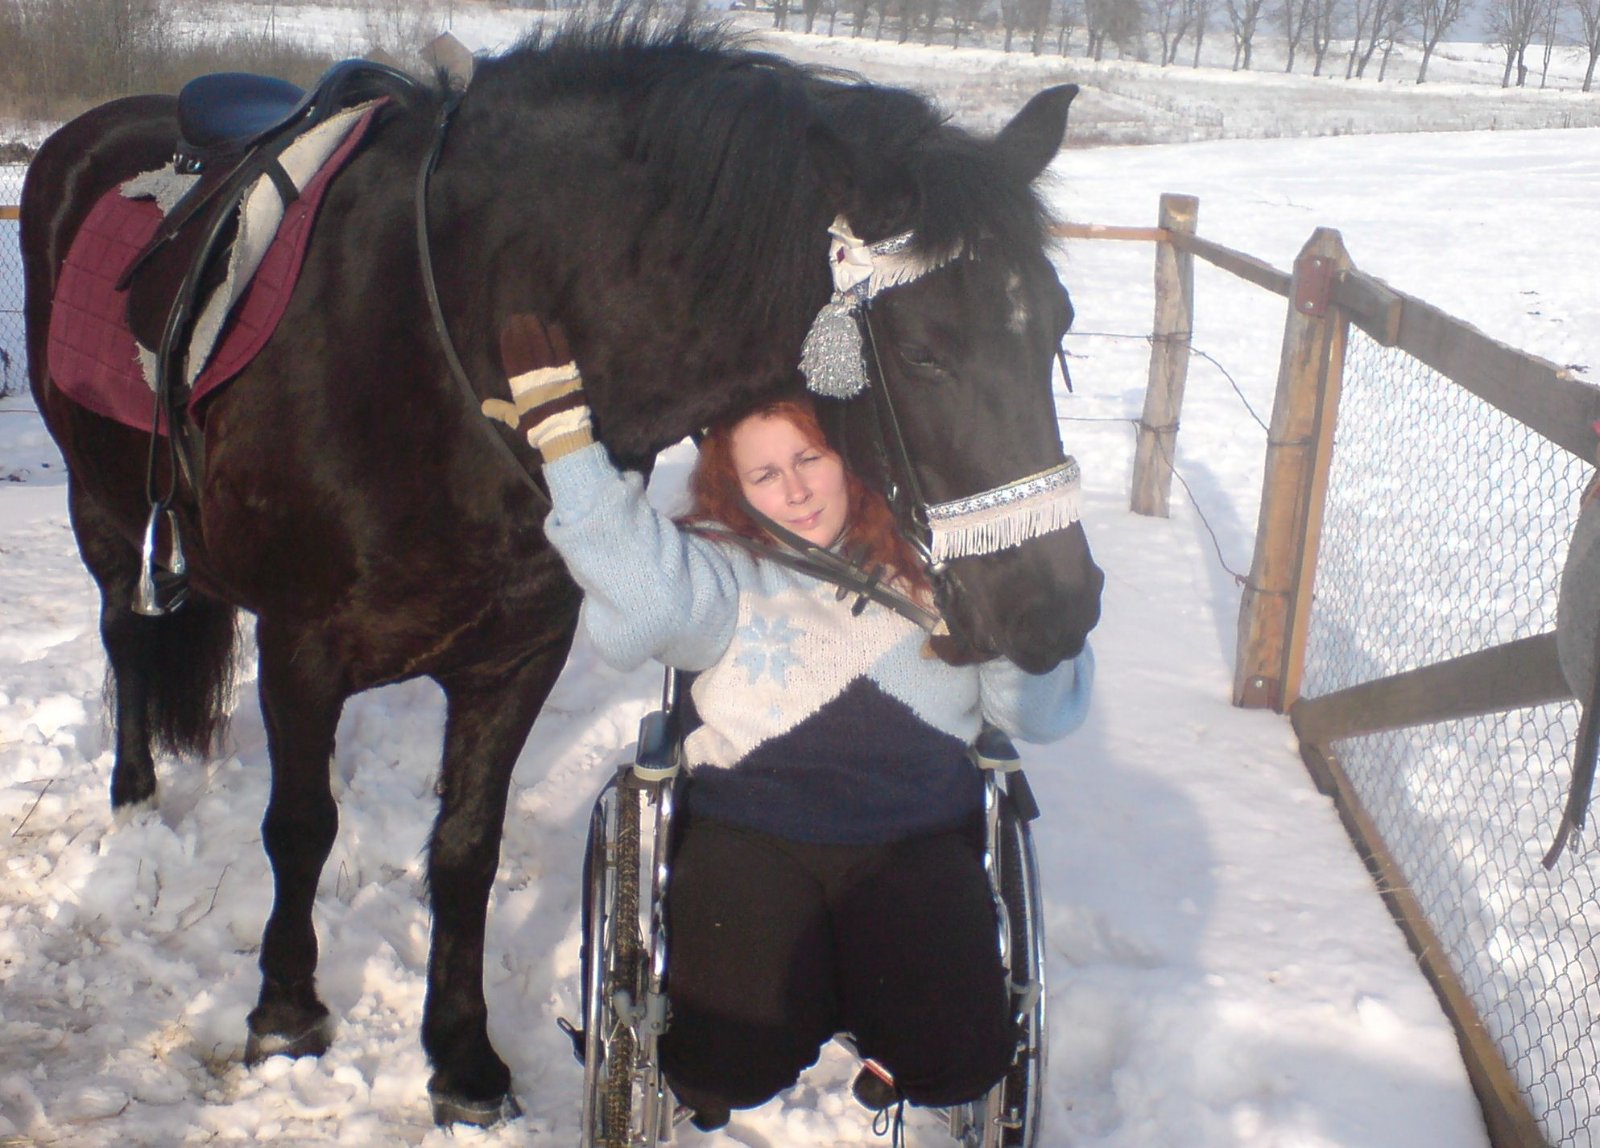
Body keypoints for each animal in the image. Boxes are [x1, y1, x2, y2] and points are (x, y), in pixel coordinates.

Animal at [20, 20, 1102, 1126]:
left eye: (1059, 323)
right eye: (924, 353)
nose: (1056, 606)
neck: (433, 341)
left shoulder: (517, 655)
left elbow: (465, 848)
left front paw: (461, 1056)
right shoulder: (303, 648)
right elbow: (302, 826)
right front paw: (286, 1009)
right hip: (102, 512)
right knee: (126, 635)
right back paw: (135, 801)